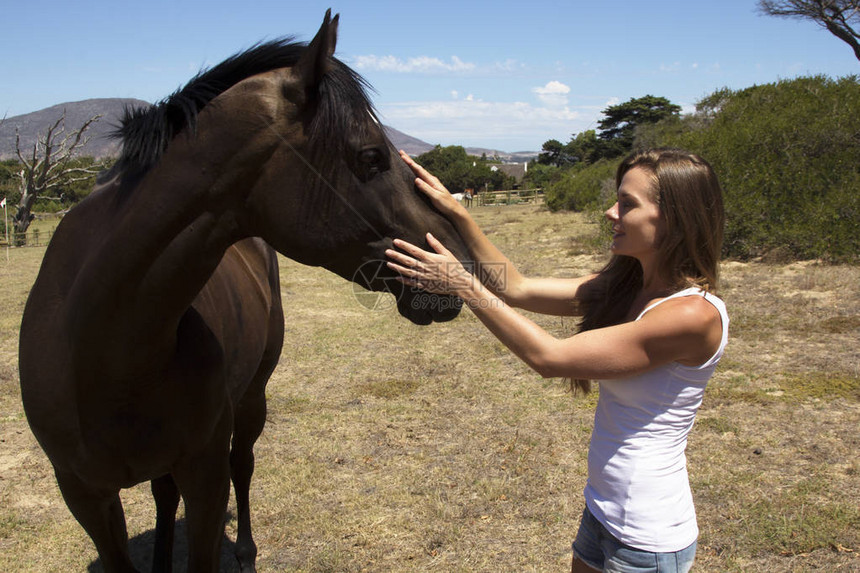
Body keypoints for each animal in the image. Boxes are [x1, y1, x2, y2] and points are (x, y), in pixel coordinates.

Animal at [16, 10, 466, 572]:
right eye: (370, 156)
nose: (456, 261)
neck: (104, 346)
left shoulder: (206, 474)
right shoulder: (84, 496)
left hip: (251, 399)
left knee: (243, 465)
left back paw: (247, 553)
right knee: (166, 494)